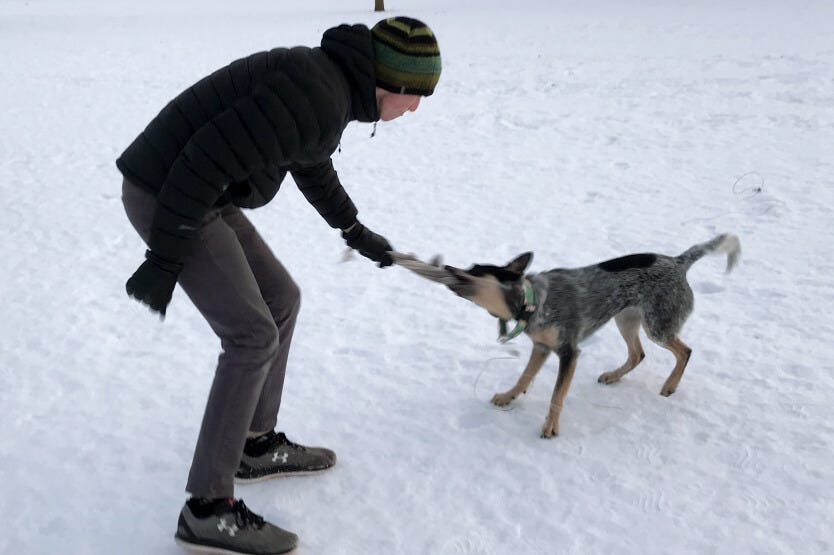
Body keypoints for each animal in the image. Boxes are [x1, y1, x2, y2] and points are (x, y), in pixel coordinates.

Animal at [392, 235, 740, 438]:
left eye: (476, 270)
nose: (448, 268)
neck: (533, 302)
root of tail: (679, 261)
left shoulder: (568, 352)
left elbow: (557, 395)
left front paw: (550, 426)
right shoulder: (541, 347)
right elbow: (523, 377)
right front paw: (508, 396)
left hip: (657, 325)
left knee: (685, 351)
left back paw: (669, 386)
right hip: (625, 318)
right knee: (637, 354)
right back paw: (613, 376)